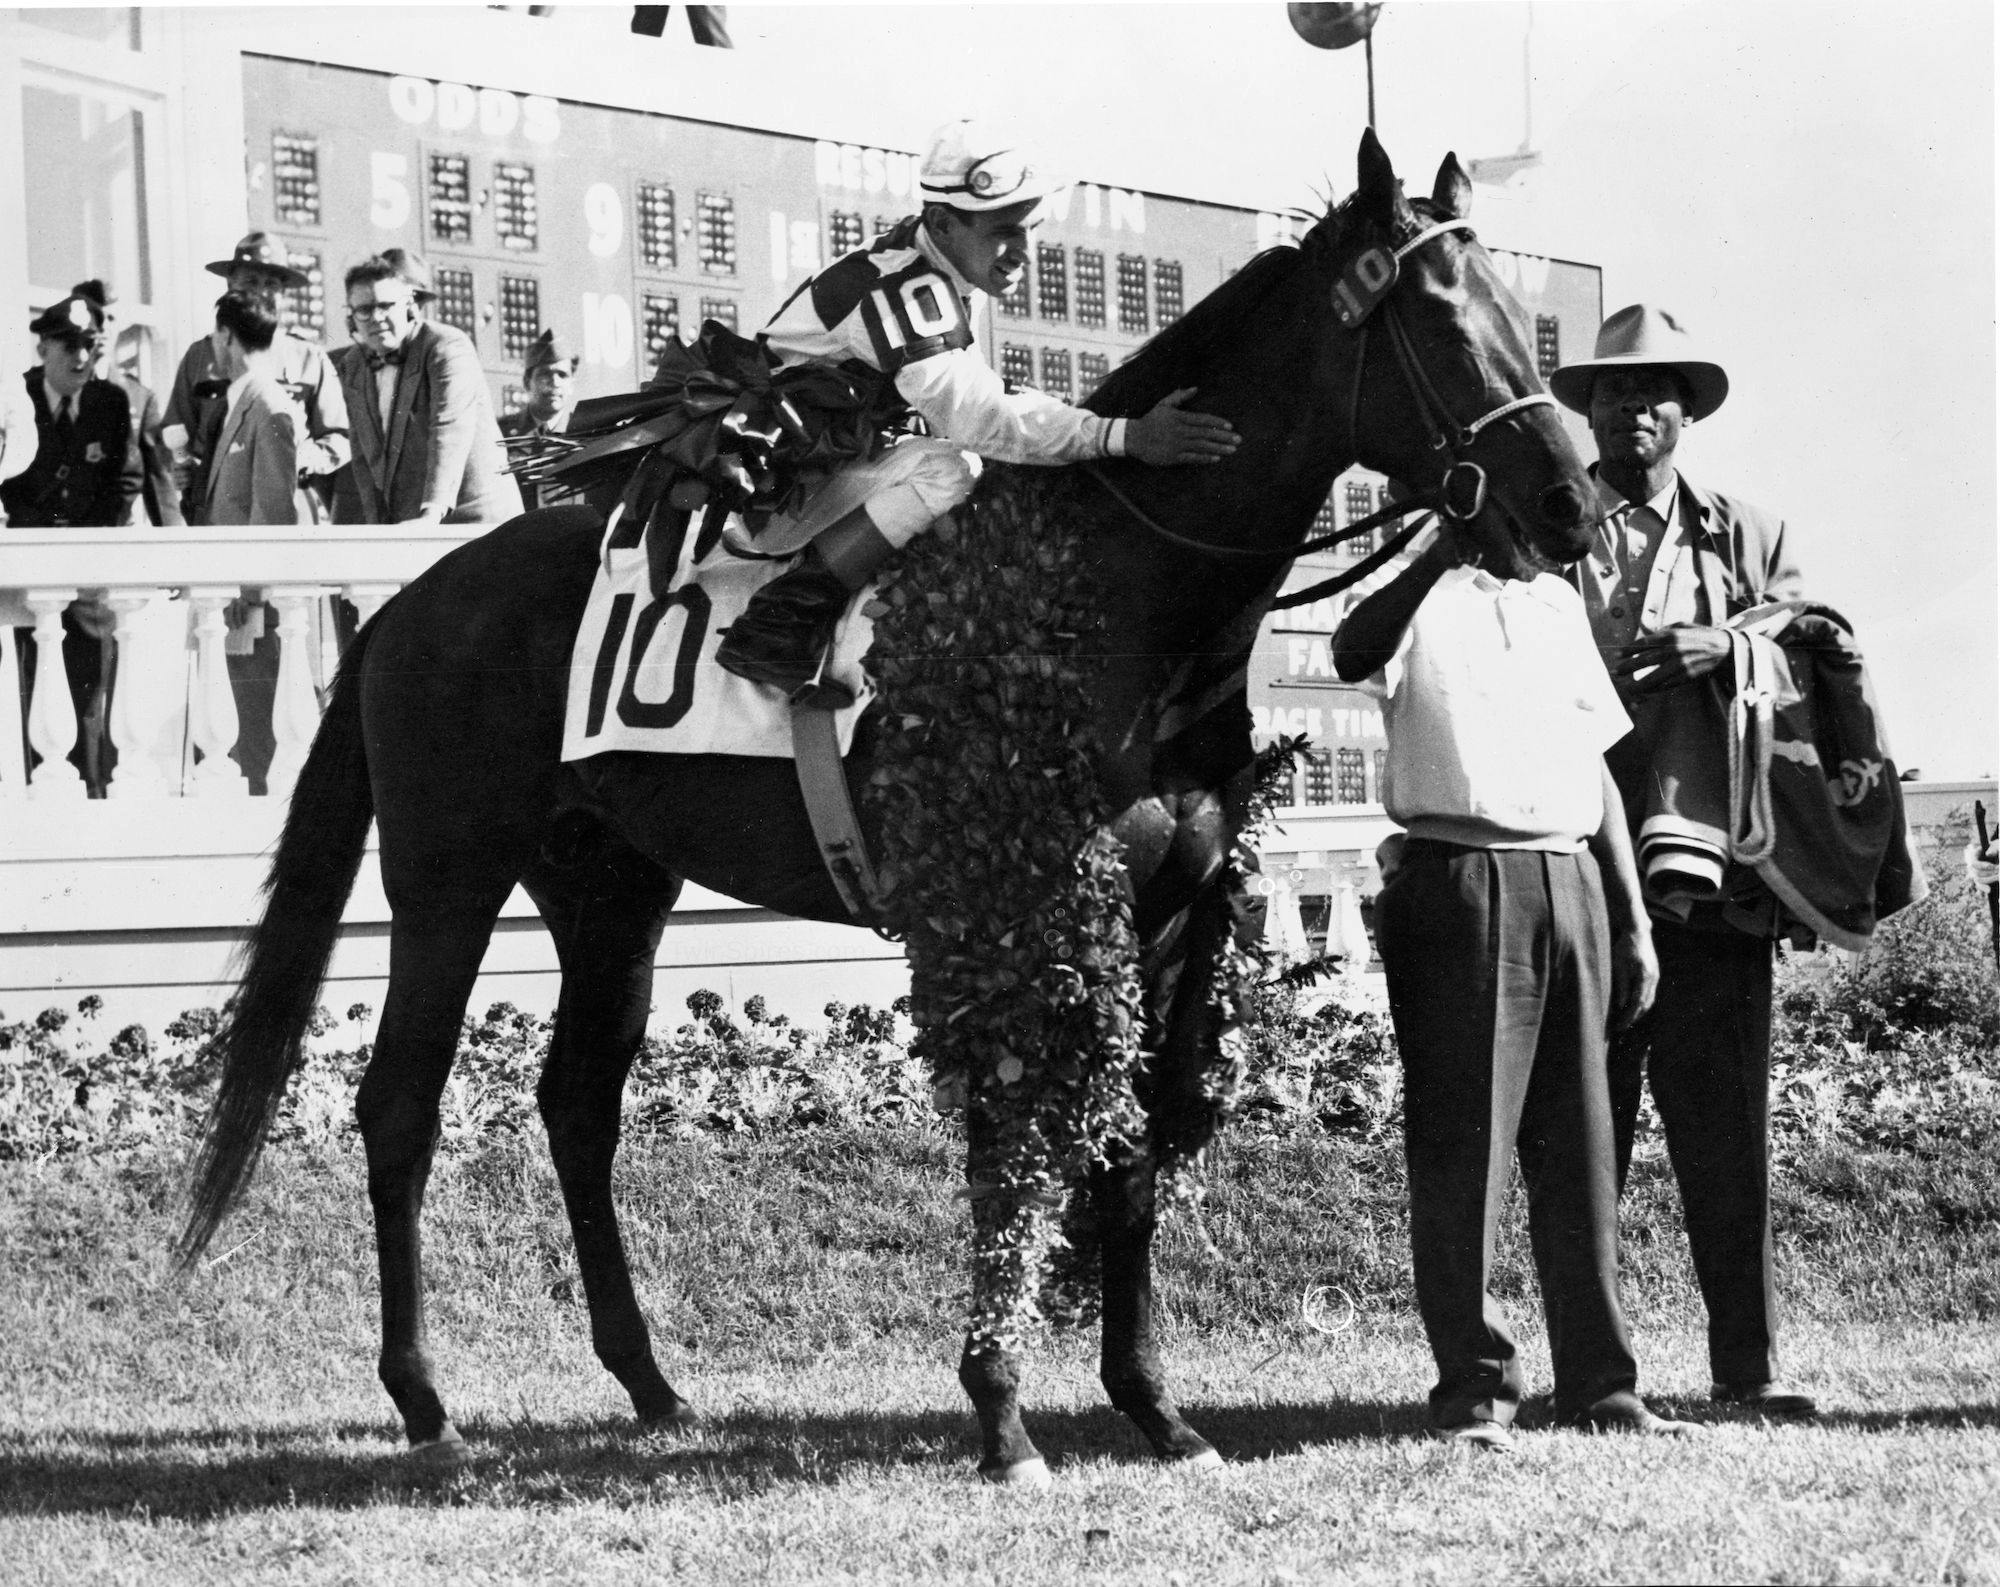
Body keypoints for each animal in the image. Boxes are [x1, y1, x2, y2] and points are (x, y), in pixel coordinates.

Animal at [172, 129, 1592, 1479]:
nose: (1569, 501)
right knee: (399, 1106)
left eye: (1513, 308)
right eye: (1437, 317)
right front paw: (1002, 1414)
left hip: (608, 889)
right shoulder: (1009, 906)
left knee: (577, 1105)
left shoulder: (1166, 912)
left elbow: (1128, 1151)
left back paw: (648, 1383)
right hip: (447, 877)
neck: (1113, 597)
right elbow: (1012, 1142)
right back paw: (424, 1399)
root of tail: (410, 601)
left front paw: (1151, 1406)